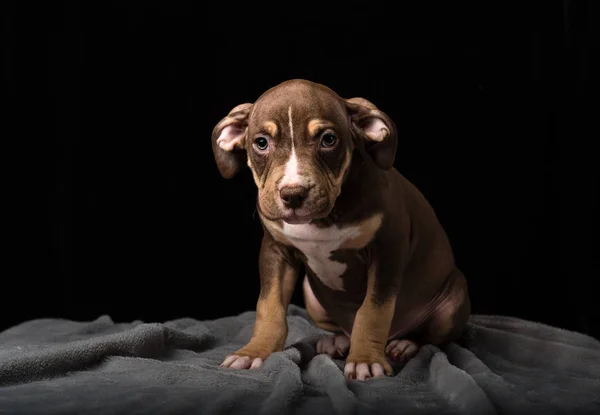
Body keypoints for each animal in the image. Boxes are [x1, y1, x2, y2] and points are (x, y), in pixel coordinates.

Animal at [213, 79, 472, 382]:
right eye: (261, 143)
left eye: (328, 139)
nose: (292, 193)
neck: (322, 220)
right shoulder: (276, 251)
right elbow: (269, 306)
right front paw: (254, 352)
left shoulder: (387, 251)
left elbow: (373, 312)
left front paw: (365, 361)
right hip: (312, 298)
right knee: (342, 326)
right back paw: (338, 340)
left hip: (452, 300)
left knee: (430, 338)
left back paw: (405, 344)